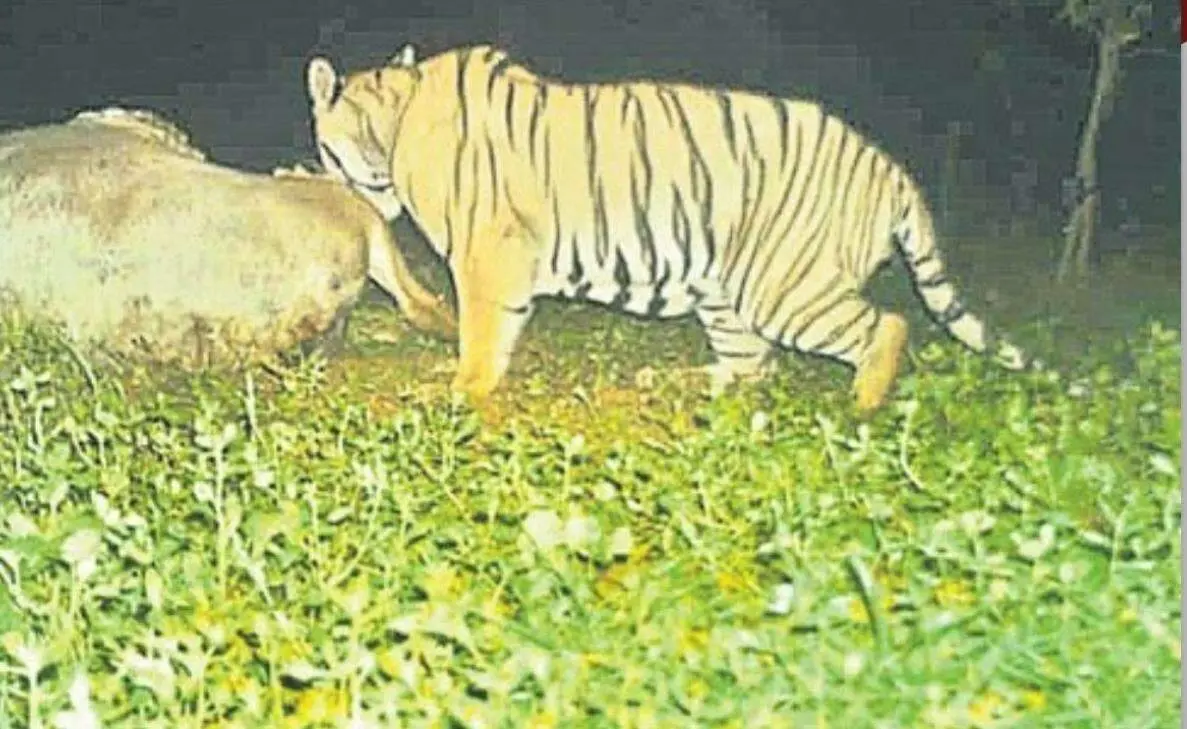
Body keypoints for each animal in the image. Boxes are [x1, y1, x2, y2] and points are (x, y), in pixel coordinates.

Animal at [304, 43, 1036, 414]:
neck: (390, 123)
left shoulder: (490, 252)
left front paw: (462, 386)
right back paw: (673, 380)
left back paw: (863, 402)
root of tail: (892, 170)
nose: (321, 171)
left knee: (886, 324)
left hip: (782, 287)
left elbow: (482, 332)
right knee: (751, 365)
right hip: (725, 289)